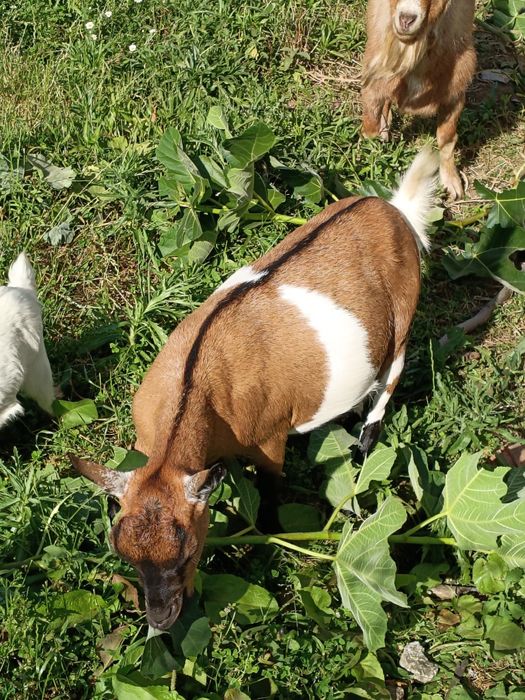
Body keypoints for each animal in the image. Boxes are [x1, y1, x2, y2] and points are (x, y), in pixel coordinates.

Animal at [71, 149, 438, 630]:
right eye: (128, 558)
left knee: (391, 374)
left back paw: (364, 441)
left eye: (189, 553)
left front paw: (267, 539)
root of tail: (393, 209)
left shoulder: (269, 438)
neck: (196, 385)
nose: (162, 620)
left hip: (404, 314)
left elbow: (270, 491)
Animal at [361, 0, 476, 199]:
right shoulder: (375, 73)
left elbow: (447, 137)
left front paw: (452, 183)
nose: (406, 19)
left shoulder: (456, 90)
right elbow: (370, 126)